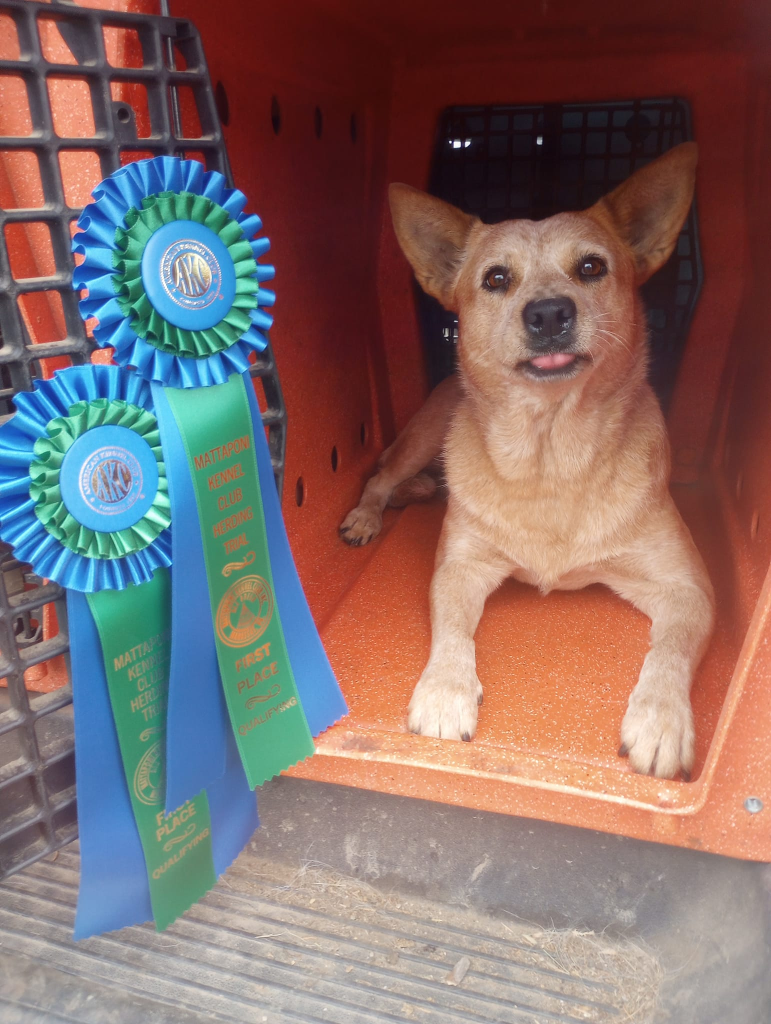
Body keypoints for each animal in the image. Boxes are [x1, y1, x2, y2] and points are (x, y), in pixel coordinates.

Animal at [339, 143, 714, 780]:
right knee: (380, 476)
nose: (548, 313)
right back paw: (369, 515)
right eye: (496, 278)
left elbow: (669, 653)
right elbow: (451, 633)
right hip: (424, 435)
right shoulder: (459, 567)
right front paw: (445, 691)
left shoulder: (689, 588)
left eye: (591, 267)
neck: (550, 458)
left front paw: (661, 719)